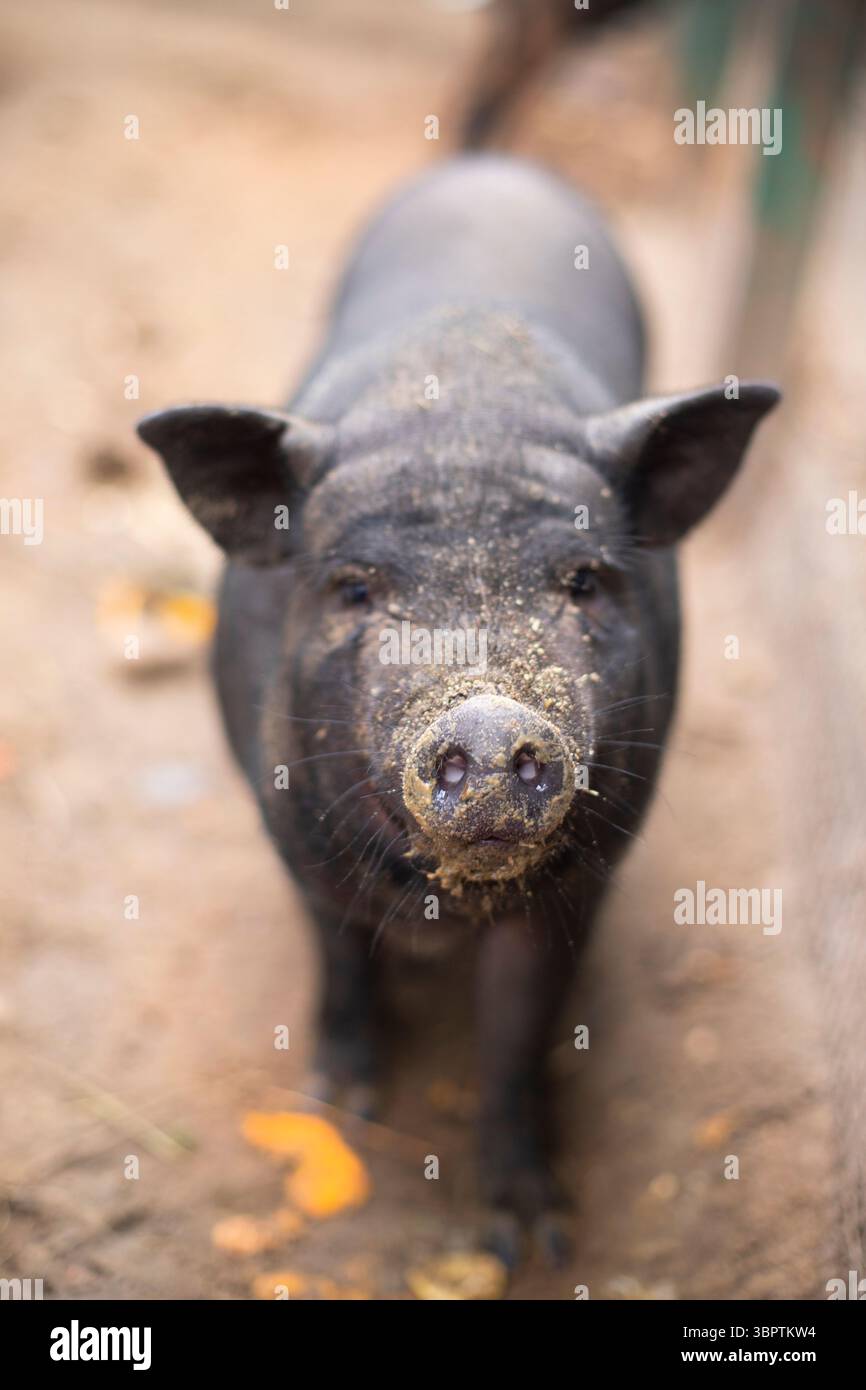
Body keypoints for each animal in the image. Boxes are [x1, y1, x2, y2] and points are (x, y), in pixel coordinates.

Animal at [137, 154, 779, 1262]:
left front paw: (532, 1239)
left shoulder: (585, 878)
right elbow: (338, 957)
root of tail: (494, 167)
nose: (484, 722)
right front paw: (343, 1098)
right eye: (354, 588)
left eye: (583, 581)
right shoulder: (289, 832)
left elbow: (518, 1033)